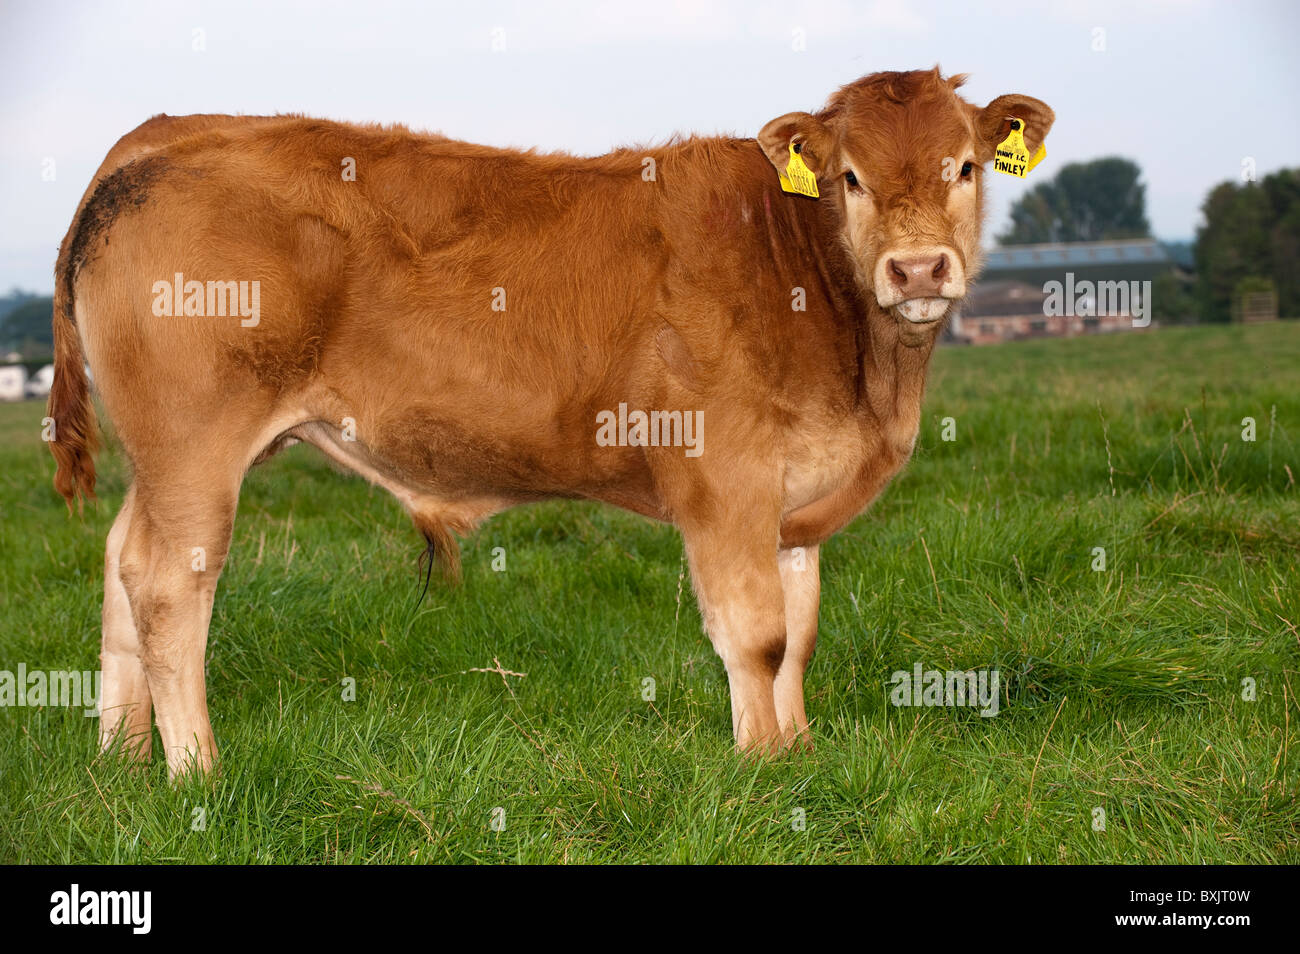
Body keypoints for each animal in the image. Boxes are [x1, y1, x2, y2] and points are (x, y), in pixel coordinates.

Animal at [48, 68, 1053, 777]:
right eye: (850, 178)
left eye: (965, 168)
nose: (917, 269)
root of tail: (160, 134)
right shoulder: (725, 482)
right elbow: (756, 634)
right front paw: (763, 766)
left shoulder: (794, 506)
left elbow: (798, 633)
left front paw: (800, 751)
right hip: (195, 447)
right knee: (169, 586)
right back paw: (195, 772)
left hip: (164, 461)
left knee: (120, 563)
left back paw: (119, 760)